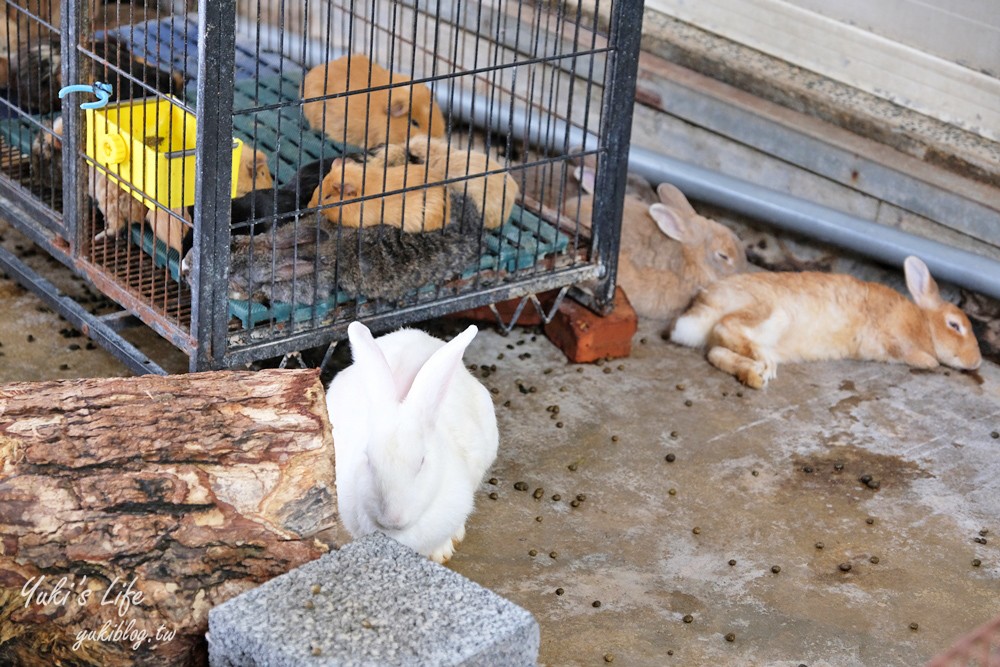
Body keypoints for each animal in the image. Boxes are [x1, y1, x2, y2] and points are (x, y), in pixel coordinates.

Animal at [672, 258, 984, 392]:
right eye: (955, 325)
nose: (977, 361)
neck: (923, 324)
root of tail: (705, 304)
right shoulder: (895, 337)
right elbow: (913, 355)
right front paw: (930, 361)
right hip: (770, 314)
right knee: (726, 327)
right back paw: (764, 364)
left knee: (716, 352)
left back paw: (755, 375)